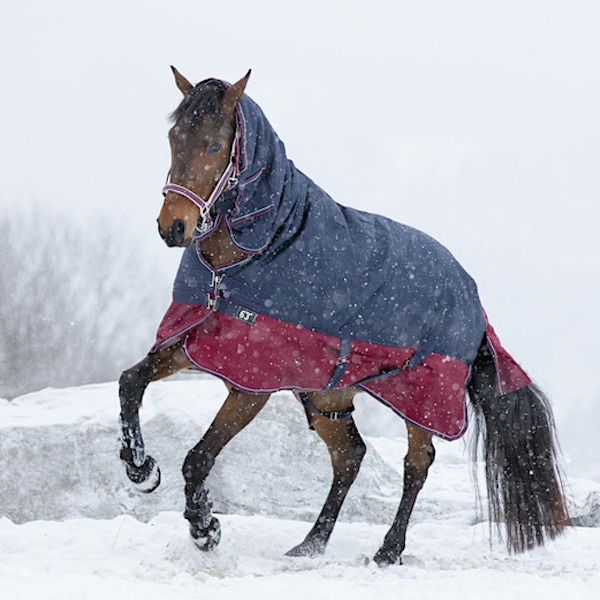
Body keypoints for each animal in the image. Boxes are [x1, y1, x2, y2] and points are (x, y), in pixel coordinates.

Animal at [118, 68, 572, 564]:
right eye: (173, 138)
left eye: (216, 145)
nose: (172, 227)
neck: (245, 258)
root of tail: (473, 295)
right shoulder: (196, 341)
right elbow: (130, 382)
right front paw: (140, 468)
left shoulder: (252, 382)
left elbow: (198, 457)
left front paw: (204, 527)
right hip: (328, 394)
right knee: (350, 455)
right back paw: (310, 543)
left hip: (422, 400)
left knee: (417, 464)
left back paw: (388, 550)